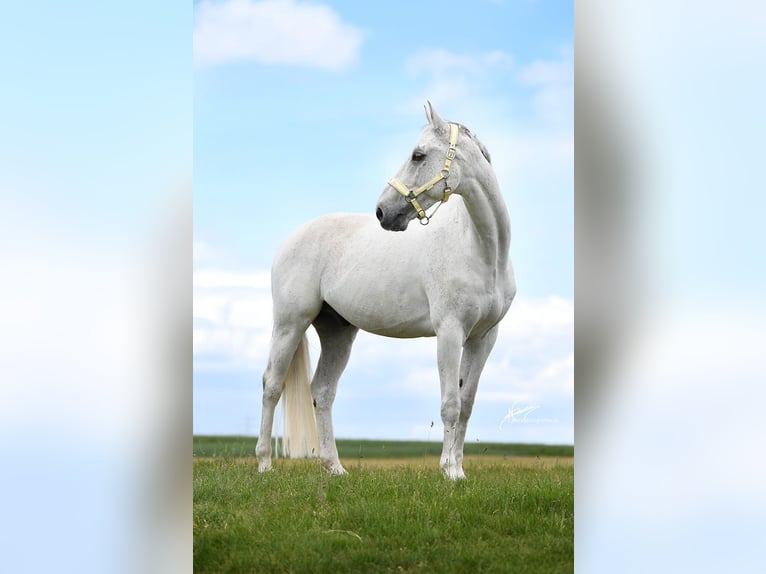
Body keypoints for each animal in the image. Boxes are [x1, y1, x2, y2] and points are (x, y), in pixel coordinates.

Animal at [255, 102, 516, 480]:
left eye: (418, 155)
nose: (382, 212)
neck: (482, 250)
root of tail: (292, 239)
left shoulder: (484, 338)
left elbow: (466, 404)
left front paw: (460, 471)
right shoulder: (450, 332)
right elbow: (450, 404)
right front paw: (449, 471)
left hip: (337, 332)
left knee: (322, 392)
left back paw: (334, 468)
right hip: (290, 323)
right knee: (272, 386)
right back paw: (264, 465)